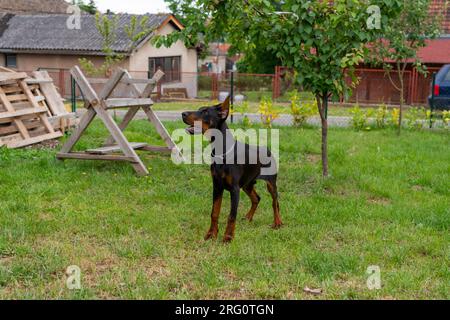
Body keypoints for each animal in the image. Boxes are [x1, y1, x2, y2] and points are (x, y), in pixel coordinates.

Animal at [182, 95, 282, 242]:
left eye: (205, 112)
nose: (183, 113)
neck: (221, 151)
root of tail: (268, 149)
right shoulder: (217, 186)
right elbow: (214, 212)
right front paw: (211, 234)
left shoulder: (234, 189)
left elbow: (231, 215)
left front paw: (228, 237)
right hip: (247, 184)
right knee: (256, 198)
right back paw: (248, 217)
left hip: (270, 183)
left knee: (275, 202)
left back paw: (277, 222)